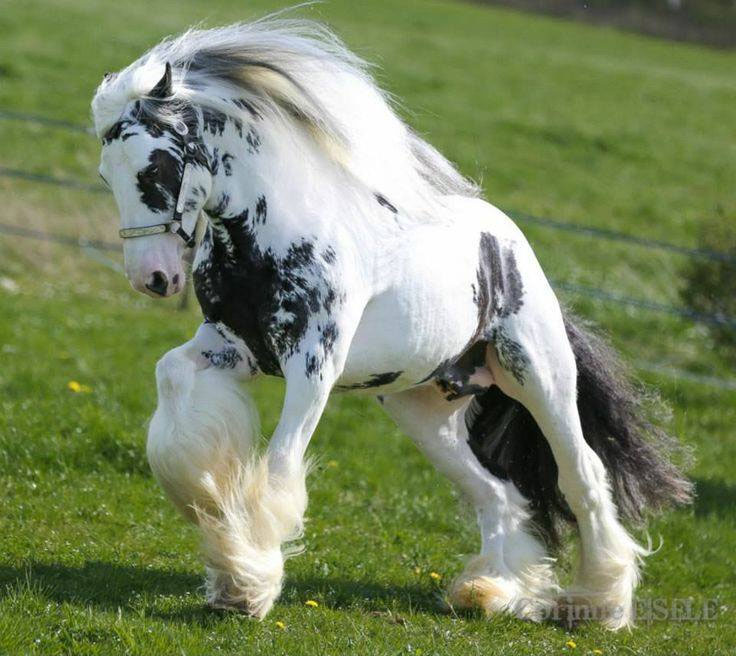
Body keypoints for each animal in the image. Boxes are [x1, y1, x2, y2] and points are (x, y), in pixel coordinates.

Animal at [90, 15, 688, 632]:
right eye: (106, 173)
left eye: (155, 168)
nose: (152, 278)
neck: (270, 235)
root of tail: (507, 242)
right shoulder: (234, 348)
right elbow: (171, 380)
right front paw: (215, 516)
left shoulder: (313, 367)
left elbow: (278, 468)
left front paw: (246, 586)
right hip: (422, 409)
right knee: (499, 496)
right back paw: (489, 592)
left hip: (538, 376)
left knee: (583, 476)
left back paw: (596, 603)